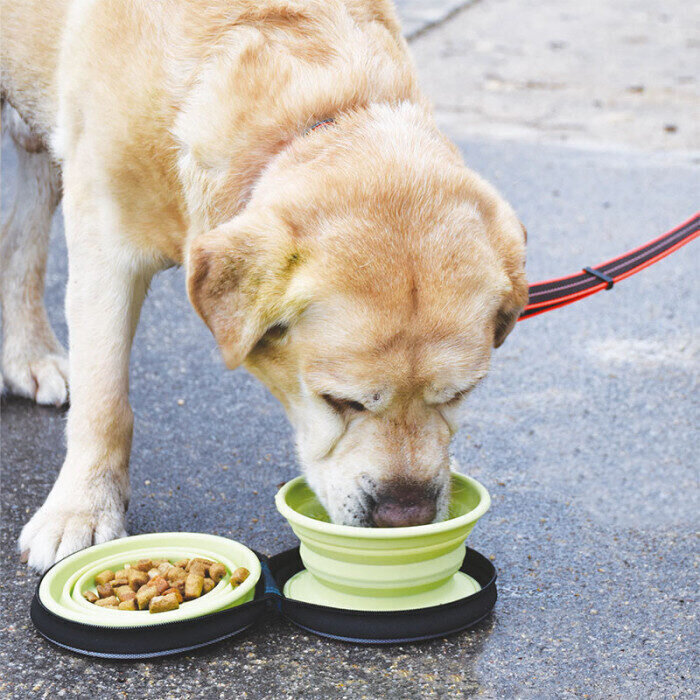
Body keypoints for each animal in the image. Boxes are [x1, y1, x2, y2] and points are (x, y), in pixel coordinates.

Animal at [0, 0, 524, 572]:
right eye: (340, 401)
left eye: (460, 394)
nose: (404, 517)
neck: (325, 109)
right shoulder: (104, 240)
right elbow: (104, 400)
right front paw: (83, 509)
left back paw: (27, 354)